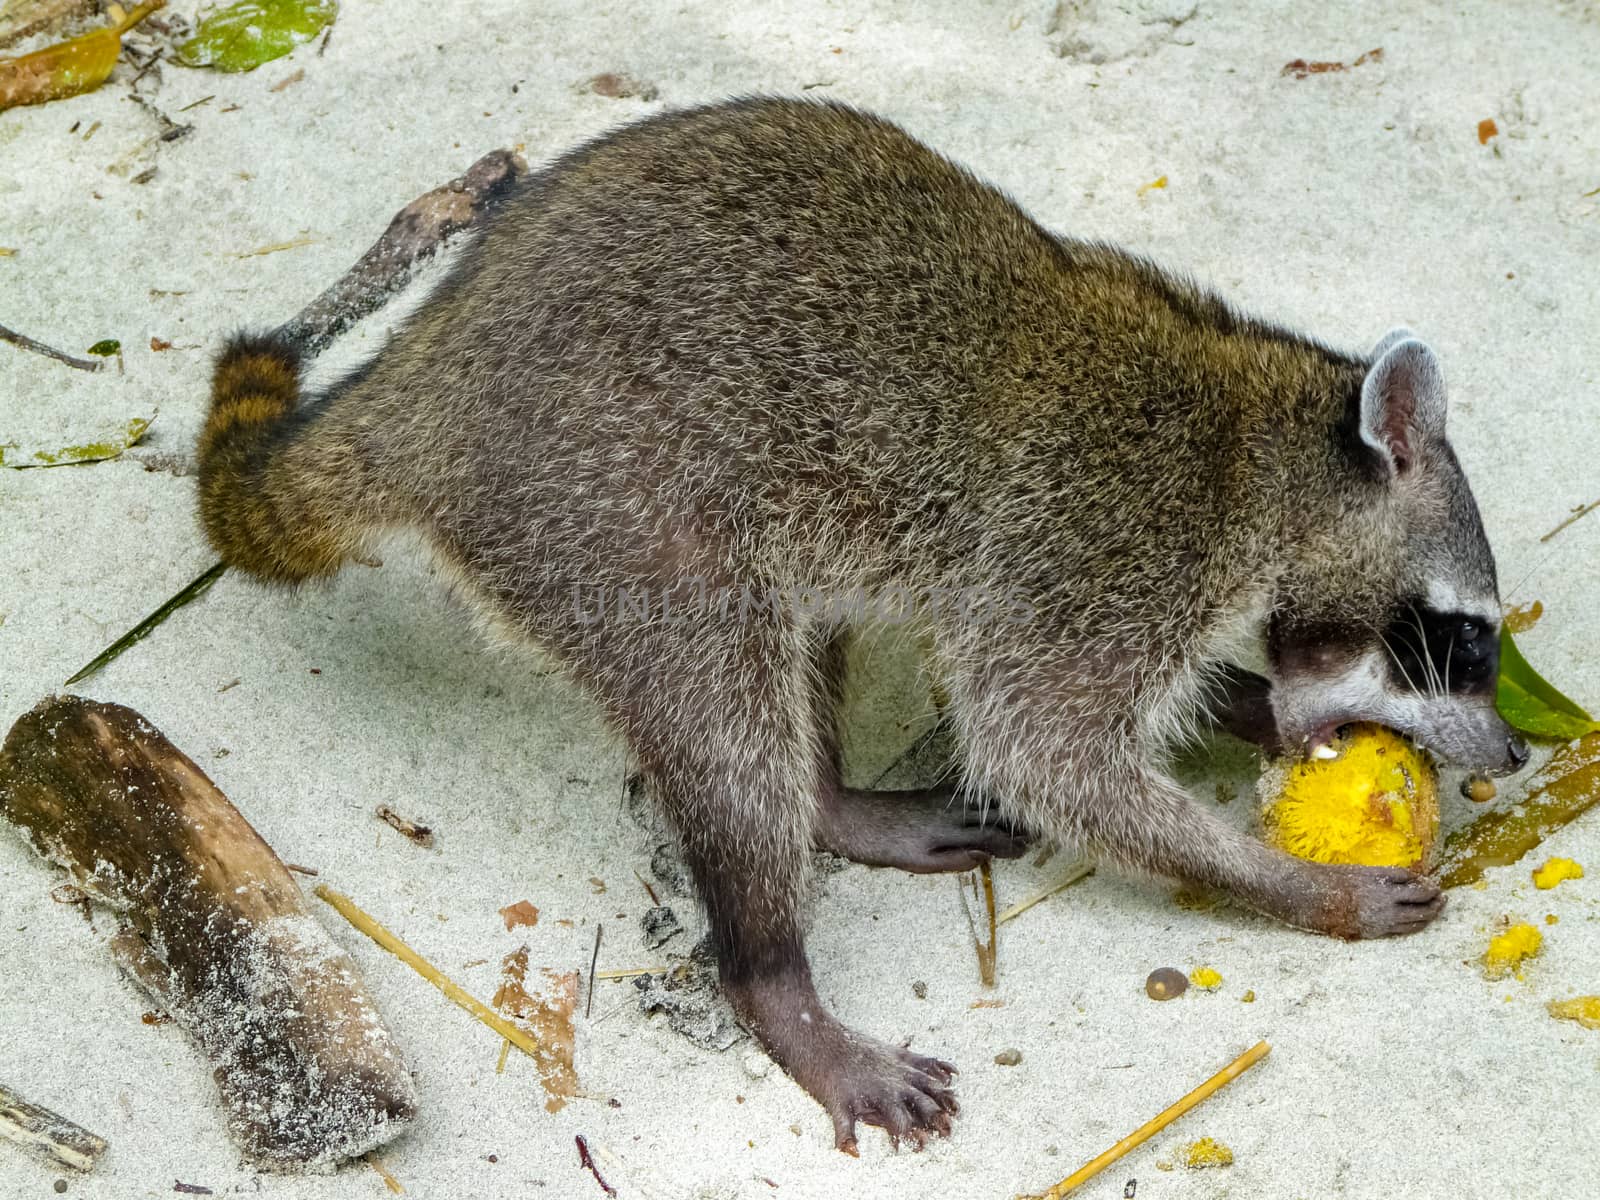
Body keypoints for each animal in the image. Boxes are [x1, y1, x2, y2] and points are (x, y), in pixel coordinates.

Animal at [196, 101, 1523, 1158]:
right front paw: (1300, 887)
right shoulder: (1105, 539)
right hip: (608, 500)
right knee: (723, 711)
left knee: (799, 630)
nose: (1511, 755)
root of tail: (422, 374)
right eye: (1465, 642)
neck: (1263, 437)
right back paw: (773, 978)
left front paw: (1257, 708)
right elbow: (1041, 745)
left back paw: (832, 805)